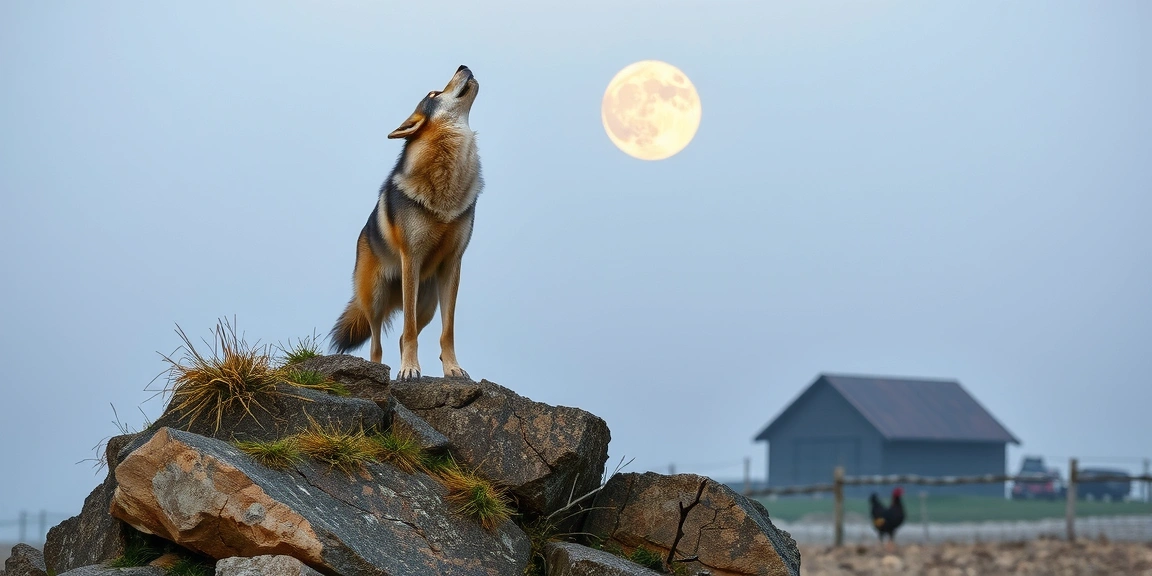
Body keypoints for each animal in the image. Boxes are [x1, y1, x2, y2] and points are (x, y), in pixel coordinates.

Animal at [329, 65, 482, 381]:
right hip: (375, 300)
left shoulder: (453, 264)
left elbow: (447, 332)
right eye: (433, 93)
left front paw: (452, 368)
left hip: (428, 304)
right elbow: (408, 329)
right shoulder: (411, 258)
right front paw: (409, 370)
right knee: (377, 344)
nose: (463, 66)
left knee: (400, 336)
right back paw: (379, 370)